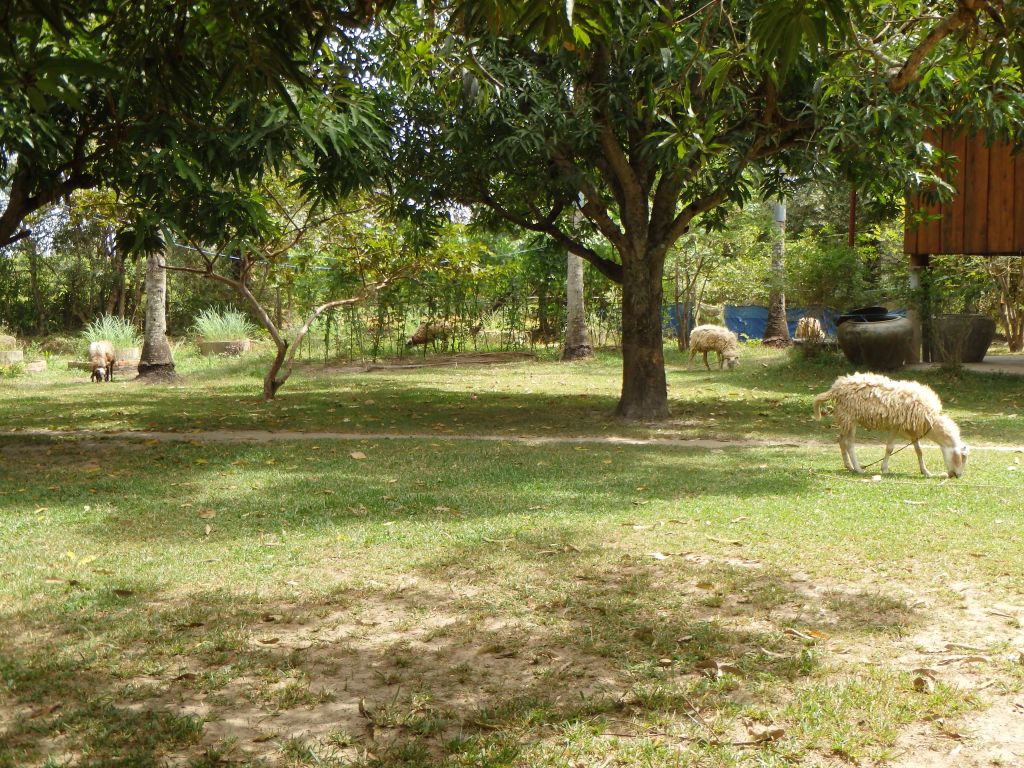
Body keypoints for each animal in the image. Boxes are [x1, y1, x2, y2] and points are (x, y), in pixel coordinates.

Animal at [812, 372, 969, 478]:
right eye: (962, 457)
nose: (957, 476)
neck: (932, 420)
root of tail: (836, 387)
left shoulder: (912, 431)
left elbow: (919, 451)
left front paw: (926, 472)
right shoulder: (896, 426)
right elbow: (890, 448)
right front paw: (884, 469)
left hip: (845, 419)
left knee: (840, 440)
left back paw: (849, 466)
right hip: (850, 418)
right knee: (849, 443)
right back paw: (858, 468)